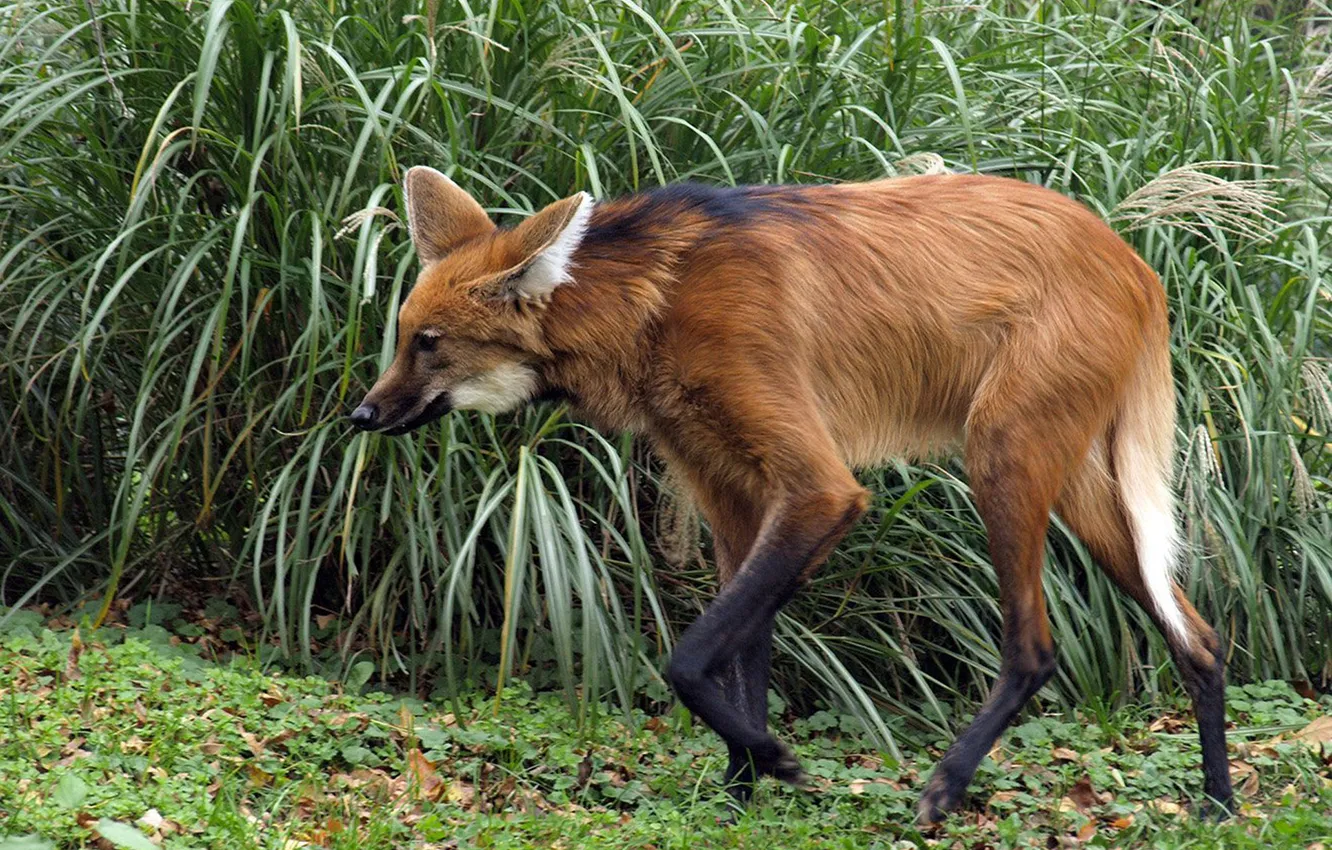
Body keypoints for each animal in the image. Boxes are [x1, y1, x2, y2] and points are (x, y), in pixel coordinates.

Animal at [350, 166, 1233, 822]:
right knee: (1198, 636)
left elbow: (690, 657)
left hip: (1003, 460)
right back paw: (1219, 805)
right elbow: (744, 655)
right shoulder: (733, 496)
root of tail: (1135, 261)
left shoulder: (818, 489)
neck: (651, 306)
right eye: (402, 338)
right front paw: (742, 795)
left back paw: (944, 790)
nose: (361, 414)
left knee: (1035, 646)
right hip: (1078, 484)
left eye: (429, 344)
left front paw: (774, 762)